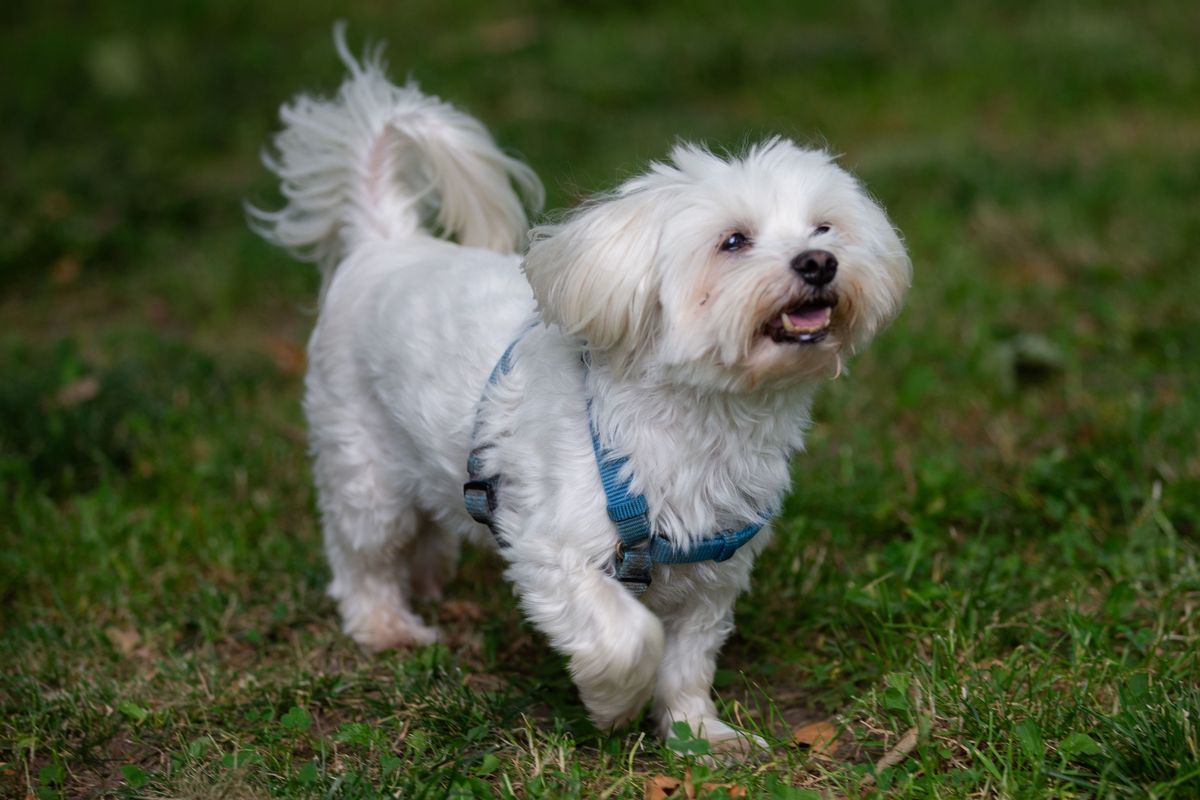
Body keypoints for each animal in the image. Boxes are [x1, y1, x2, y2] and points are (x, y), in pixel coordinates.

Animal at [253, 31, 907, 753]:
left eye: (824, 228)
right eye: (734, 241)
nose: (819, 263)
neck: (699, 420)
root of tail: (386, 241)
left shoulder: (714, 570)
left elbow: (688, 658)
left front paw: (698, 733)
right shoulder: (551, 550)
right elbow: (631, 636)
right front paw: (613, 704)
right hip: (362, 466)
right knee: (361, 557)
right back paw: (385, 624)